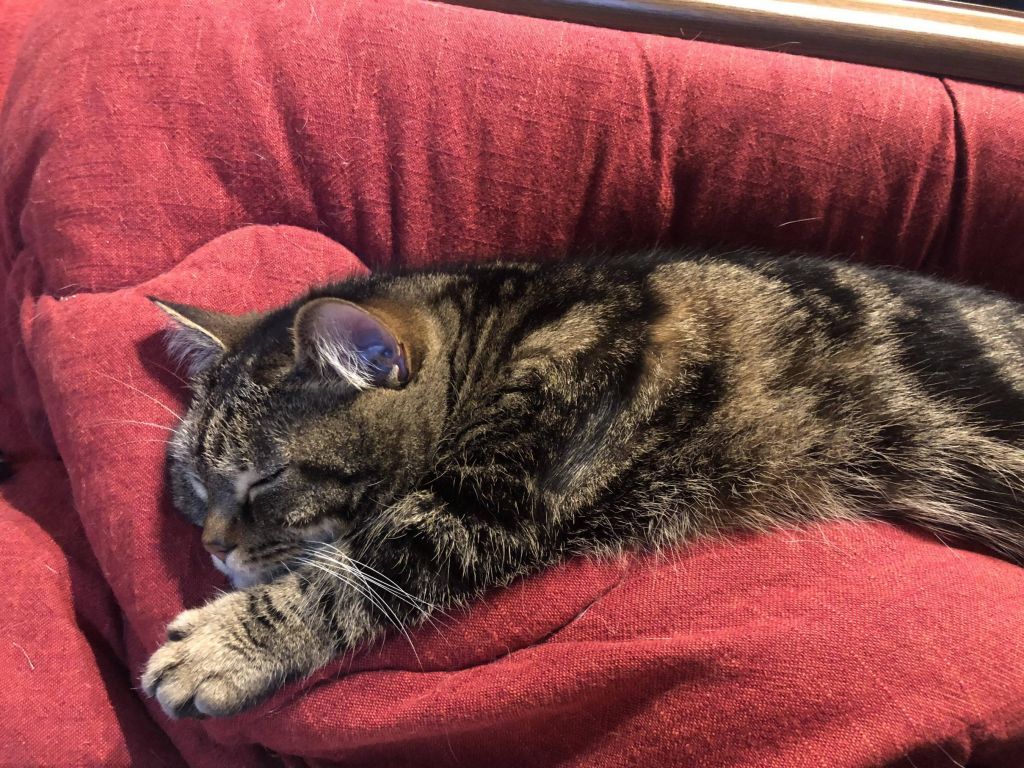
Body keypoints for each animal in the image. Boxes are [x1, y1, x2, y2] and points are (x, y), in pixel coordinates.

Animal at [141, 249, 1024, 719]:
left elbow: (343, 580)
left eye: (266, 480)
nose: (212, 545)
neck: (502, 331)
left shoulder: (476, 507)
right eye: (194, 481)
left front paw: (222, 645)